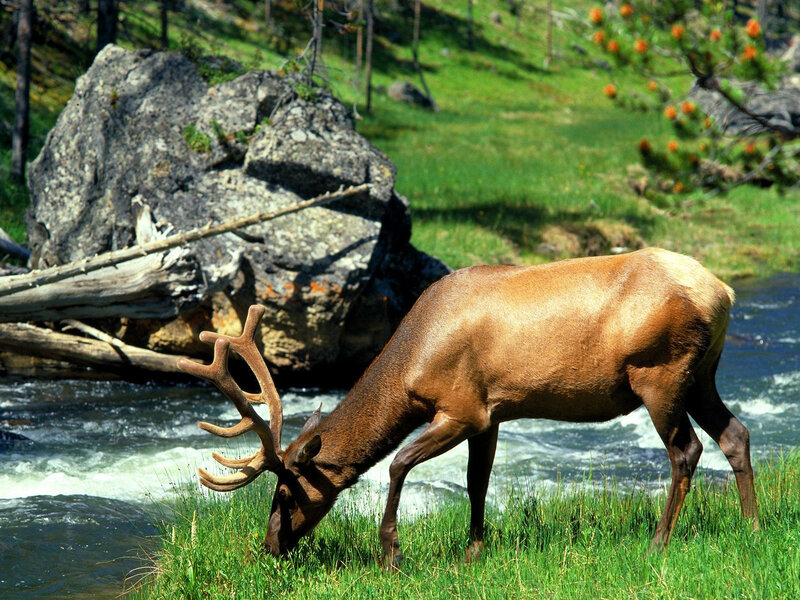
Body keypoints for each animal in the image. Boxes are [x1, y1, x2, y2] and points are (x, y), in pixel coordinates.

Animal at [177, 247, 760, 567]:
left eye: (284, 491)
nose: (270, 546)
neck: (412, 363)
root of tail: (723, 292)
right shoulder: (493, 412)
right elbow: (478, 481)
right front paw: (473, 551)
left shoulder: (462, 408)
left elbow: (397, 464)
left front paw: (391, 554)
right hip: (701, 374)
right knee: (736, 434)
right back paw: (753, 525)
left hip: (660, 372)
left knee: (686, 450)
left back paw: (658, 543)